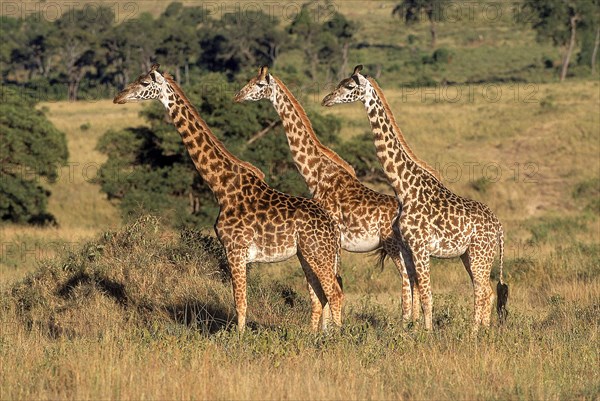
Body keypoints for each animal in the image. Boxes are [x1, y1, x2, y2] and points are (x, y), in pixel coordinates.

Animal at [114, 63, 344, 332]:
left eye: (143, 83)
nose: (118, 97)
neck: (221, 186)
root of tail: (334, 227)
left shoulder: (235, 249)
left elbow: (240, 302)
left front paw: (239, 337)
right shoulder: (237, 252)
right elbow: (241, 300)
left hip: (319, 254)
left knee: (335, 293)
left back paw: (338, 337)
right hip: (307, 254)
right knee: (319, 296)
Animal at [234, 65, 422, 322]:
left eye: (259, 84)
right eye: (250, 80)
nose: (238, 96)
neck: (315, 173)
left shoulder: (331, 236)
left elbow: (332, 283)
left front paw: (329, 328)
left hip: (395, 246)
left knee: (407, 279)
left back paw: (406, 325)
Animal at [322, 64, 508, 330]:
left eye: (348, 86)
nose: (326, 100)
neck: (404, 188)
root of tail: (499, 227)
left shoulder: (420, 247)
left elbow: (427, 295)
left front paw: (427, 334)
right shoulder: (409, 247)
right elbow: (416, 292)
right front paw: (413, 331)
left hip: (480, 254)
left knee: (482, 292)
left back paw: (474, 334)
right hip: (470, 255)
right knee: (487, 291)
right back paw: (483, 332)